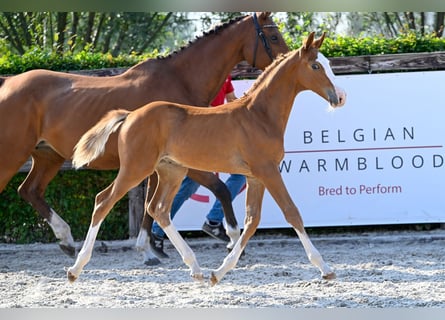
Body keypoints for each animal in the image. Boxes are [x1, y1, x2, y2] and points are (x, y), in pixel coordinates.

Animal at [0, 12, 288, 262]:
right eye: (273, 37)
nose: (287, 61)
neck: (180, 80)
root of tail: (7, 84)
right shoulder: (180, 162)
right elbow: (219, 190)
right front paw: (232, 237)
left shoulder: (156, 165)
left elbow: (151, 207)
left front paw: (148, 250)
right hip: (13, 154)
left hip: (47, 155)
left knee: (30, 190)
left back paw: (67, 240)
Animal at [68, 31, 346, 284]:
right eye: (315, 65)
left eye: (327, 63)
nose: (341, 97)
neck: (258, 116)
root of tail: (130, 115)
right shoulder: (268, 171)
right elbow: (292, 213)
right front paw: (325, 268)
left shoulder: (255, 177)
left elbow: (252, 221)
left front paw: (219, 272)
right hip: (135, 169)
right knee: (103, 201)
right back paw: (75, 268)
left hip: (171, 171)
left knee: (158, 209)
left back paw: (196, 269)